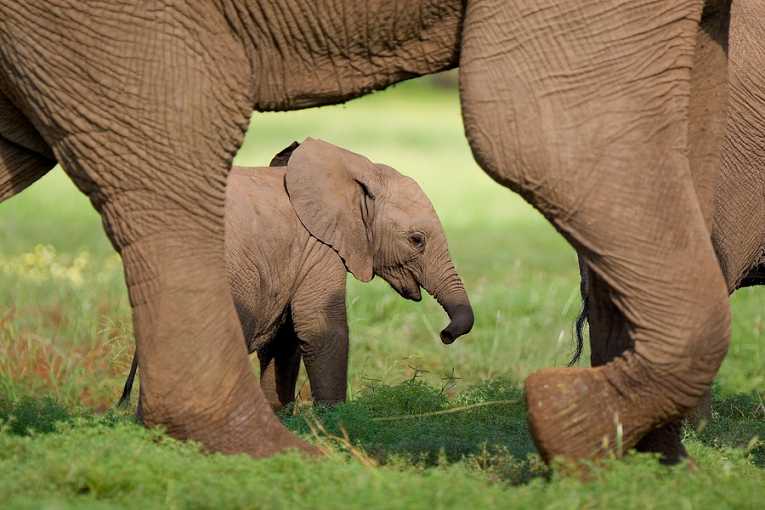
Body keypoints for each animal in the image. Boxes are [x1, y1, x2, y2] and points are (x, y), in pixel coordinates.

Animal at [116, 138, 474, 411]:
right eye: (417, 240)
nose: (445, 335)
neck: (356, 166)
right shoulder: (317, 247)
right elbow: (322, 329)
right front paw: (335, 421)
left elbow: (284, 340)